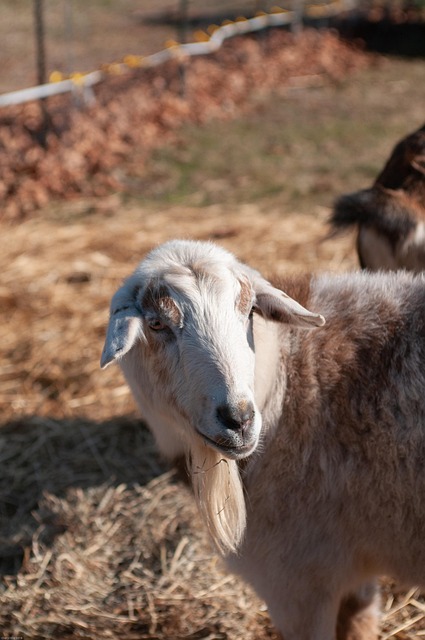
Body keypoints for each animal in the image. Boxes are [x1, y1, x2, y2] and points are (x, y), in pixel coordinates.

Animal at [101, 239, 425, 640]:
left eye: (249, 312)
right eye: (157, 324)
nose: (238, 419)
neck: (286, 387)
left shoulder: (297, 579)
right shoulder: (347, 570)